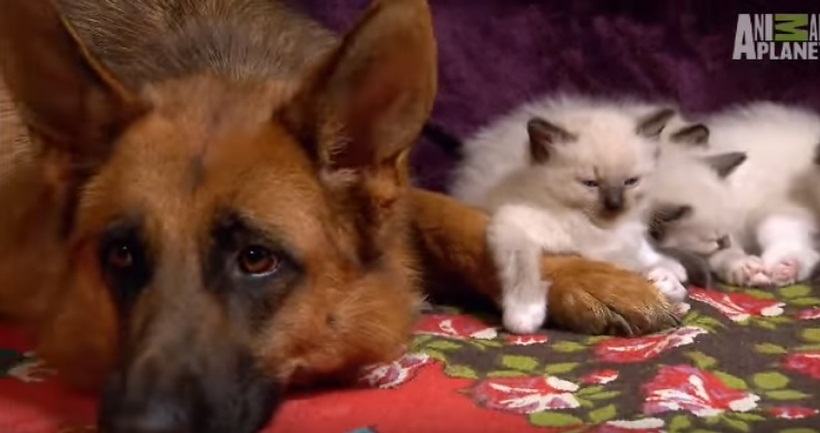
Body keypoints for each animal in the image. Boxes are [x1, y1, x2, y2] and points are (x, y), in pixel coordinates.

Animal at [452, 96, 688, 334]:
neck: (598, 229)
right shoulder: (513, 223)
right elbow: (523, 269)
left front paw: (665, 282)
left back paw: (674, 269)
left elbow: (643, 261)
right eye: (590, 183)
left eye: (630, 181)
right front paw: (524, 316)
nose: (615, 205)